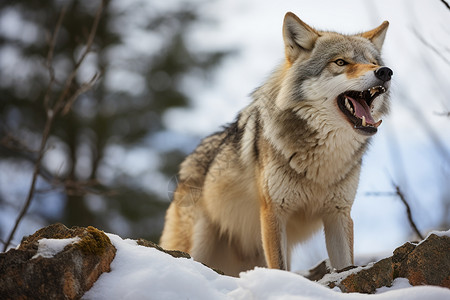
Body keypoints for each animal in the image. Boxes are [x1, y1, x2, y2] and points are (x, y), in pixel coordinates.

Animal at [160, 12, 392, 276]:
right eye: (341, 62)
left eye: (373, 62)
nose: (385, 72)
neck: (323, 163)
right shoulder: (274, 213)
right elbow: (279, 268)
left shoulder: (338, 215)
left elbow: (345, 264)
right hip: (197, 244)